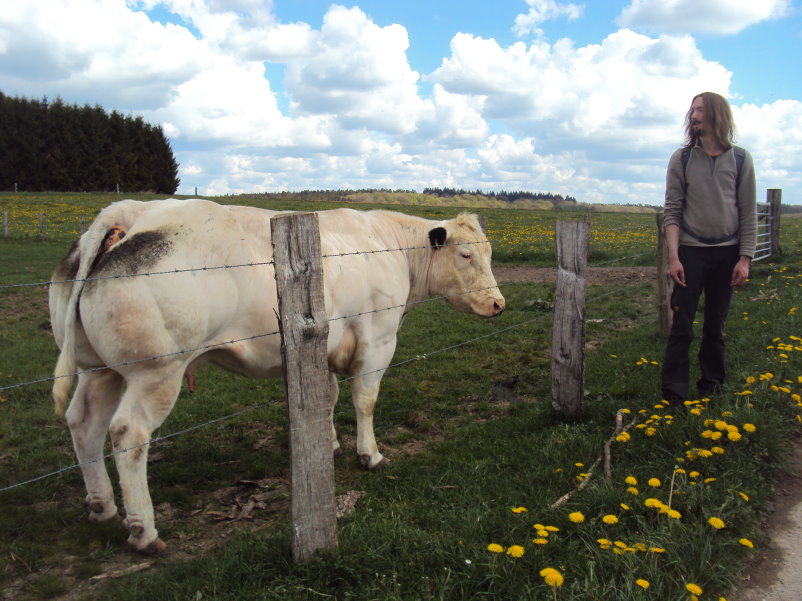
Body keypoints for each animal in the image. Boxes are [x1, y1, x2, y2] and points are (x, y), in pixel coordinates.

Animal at [48, 198, 500, 552]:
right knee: (128, 435)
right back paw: (144, 531)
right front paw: (369, 454)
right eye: (466, 255)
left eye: (490, 253)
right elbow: (364, 400)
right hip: (156, 372)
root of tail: (133, 211)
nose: (499, 304)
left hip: (99, 370)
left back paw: (102, 506)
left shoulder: (323, 344)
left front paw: (328, 443)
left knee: (84, 424)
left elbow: (326, 398)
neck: (389, 247)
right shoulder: (377, 339)